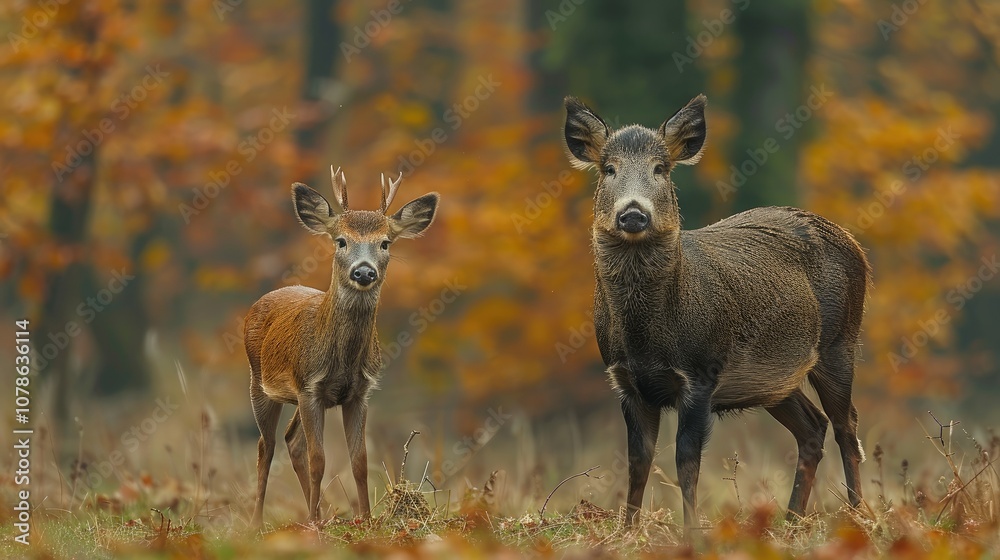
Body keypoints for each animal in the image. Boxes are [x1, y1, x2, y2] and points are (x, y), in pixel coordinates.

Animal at [245, 167, 439, 527]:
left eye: (385, 242)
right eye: (341, 240)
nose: (363, 271)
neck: (343, 360)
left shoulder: (359, 392)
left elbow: (360, 460)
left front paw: (364, 518)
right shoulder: (309, 387)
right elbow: (319, 459)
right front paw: (312, 523)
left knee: (291, 441)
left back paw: (319, 511)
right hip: (259, 383)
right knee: (266, 447)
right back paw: (258, 522)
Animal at [562, 94, 870, 529]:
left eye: (661, 168)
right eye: (609, 168)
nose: (633, 213)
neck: (646, 338)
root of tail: (853, 242)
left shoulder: (701, 374)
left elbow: (686, 461)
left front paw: (692, 530)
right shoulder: (626, 381)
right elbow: (638, 461)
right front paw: (628, 530)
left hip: (840, 342)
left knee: (847, 426)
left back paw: (858, 515)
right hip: (773, 382)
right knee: (813, 427)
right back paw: (792, 519)